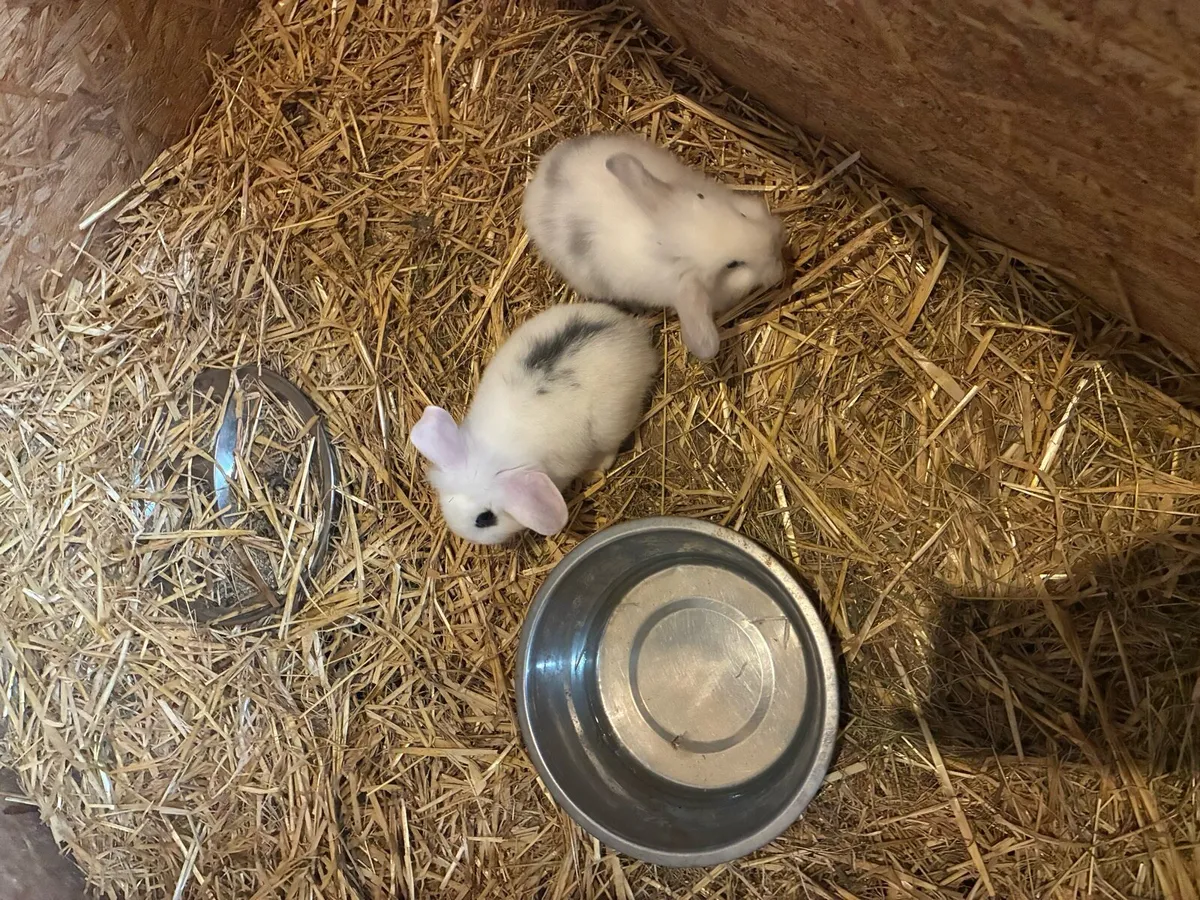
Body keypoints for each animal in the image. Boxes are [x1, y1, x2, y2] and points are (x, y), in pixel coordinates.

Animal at [409, 302, 658, 545]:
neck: (494, 452)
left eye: (485, 518)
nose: (460, 533)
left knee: (610, 448)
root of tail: (632, 333)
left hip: (612, 423)